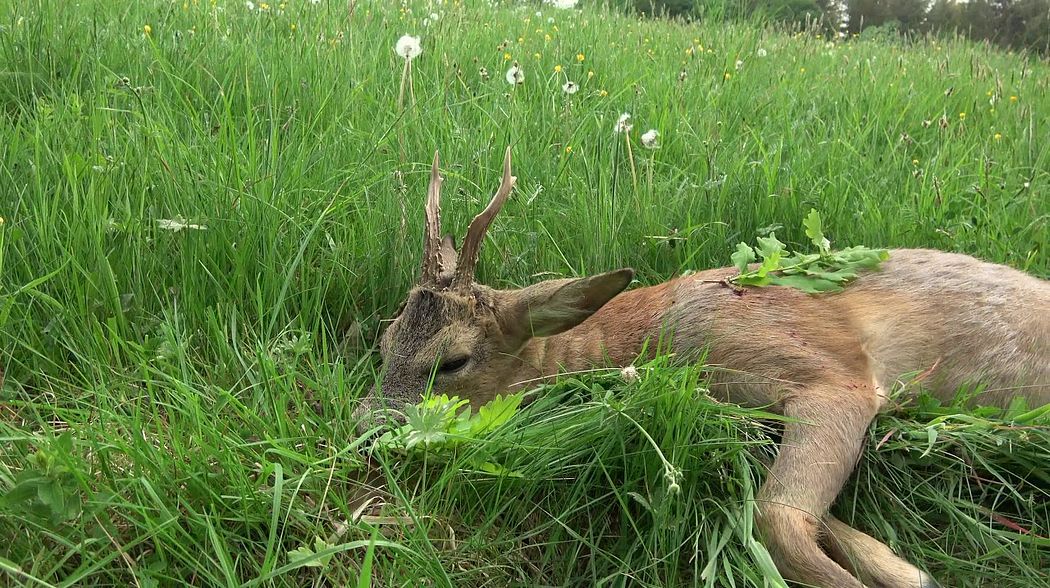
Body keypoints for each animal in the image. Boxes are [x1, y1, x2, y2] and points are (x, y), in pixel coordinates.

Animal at [354, 147, 1050, 588]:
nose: (364, 424)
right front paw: (909, 570)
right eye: (385, 340)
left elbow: (777, 517)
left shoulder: (832, 373)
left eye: (453, 361)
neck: (644, 336)